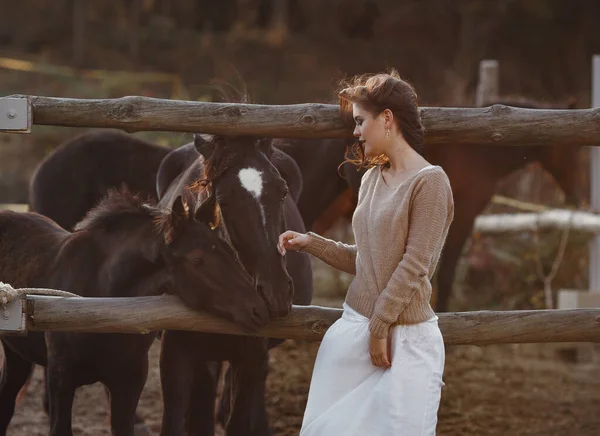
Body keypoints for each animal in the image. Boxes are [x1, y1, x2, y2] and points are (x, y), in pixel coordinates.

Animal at [0, 188, 264, 436]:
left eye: (229, 250)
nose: (259, 309)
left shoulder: (128, 384)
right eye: (197, 259)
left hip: (17, 355)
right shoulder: (61, 379)